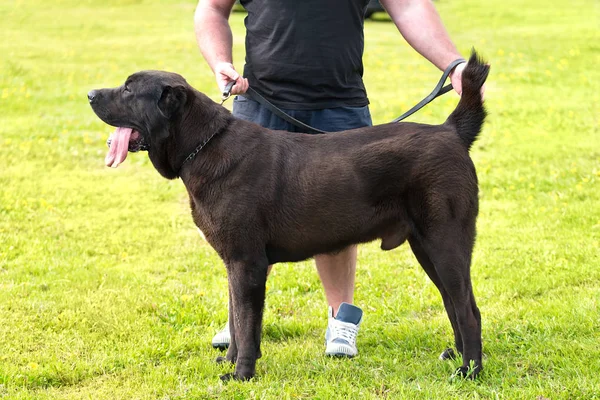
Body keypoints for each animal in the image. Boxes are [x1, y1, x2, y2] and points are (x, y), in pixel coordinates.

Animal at [89, 53, 490, 382]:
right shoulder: (233, 263)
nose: (90, 93)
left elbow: (247, 324)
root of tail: (451, 132)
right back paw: (455, 356)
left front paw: (241, 374)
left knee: (469, 309)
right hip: (426, 247)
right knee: (454, 304)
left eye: (128, 89)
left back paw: (469, 372)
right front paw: (229, 362)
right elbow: (235, 319)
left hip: (445, 241)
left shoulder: (247, 262)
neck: (203, 146)